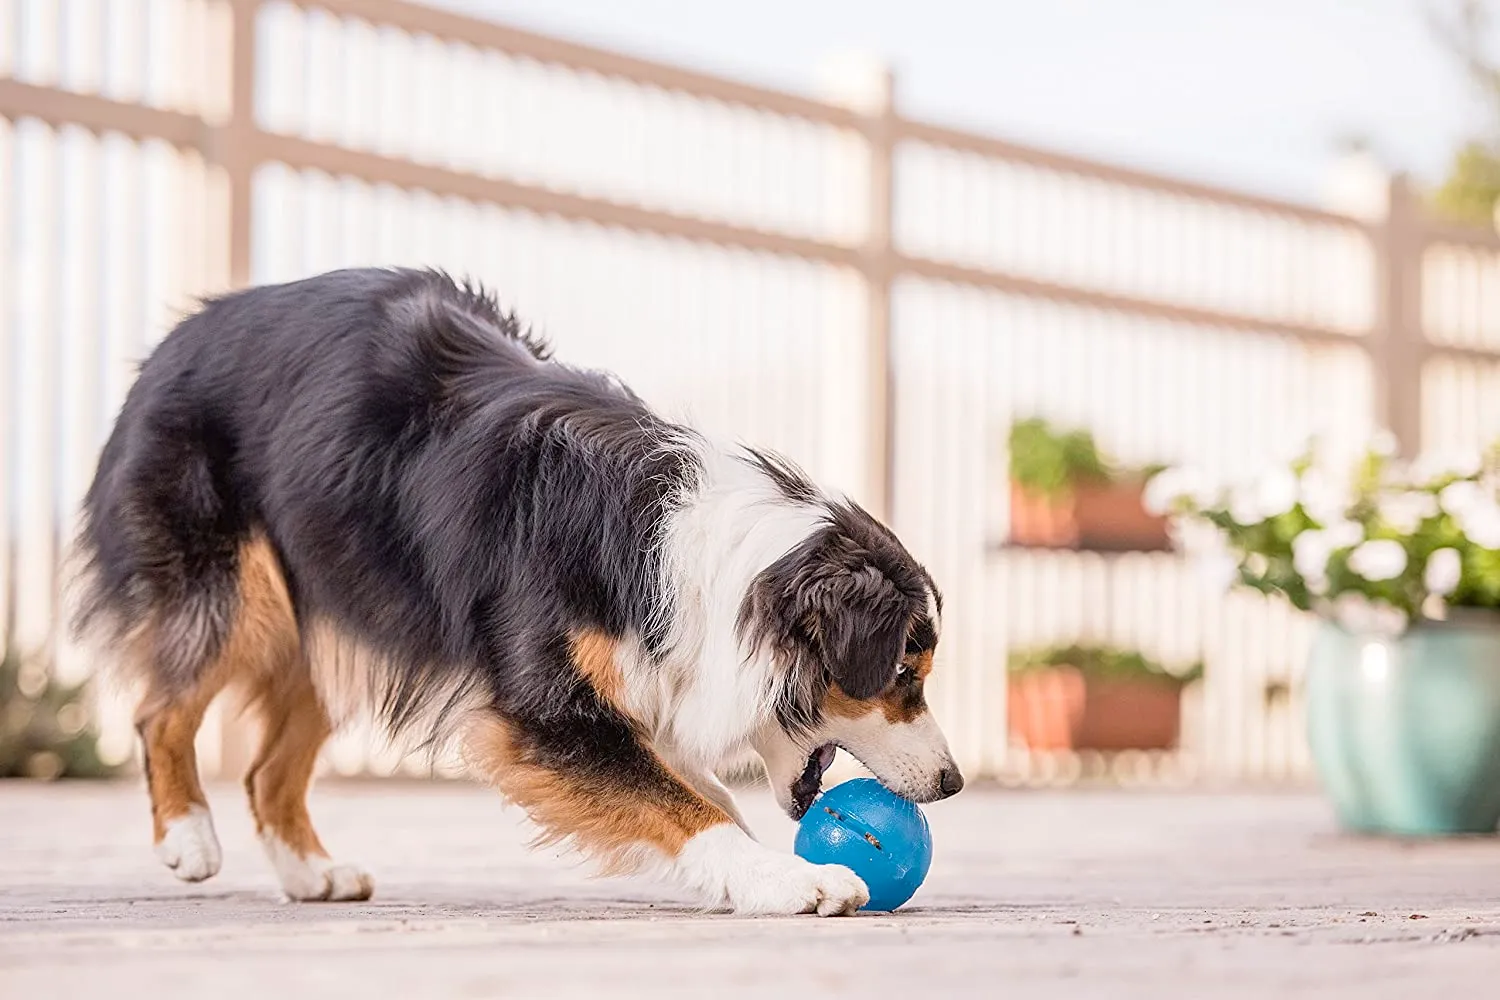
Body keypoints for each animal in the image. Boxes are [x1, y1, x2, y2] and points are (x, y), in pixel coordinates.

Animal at [70, 263, 960, 917]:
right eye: (903, 675)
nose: (953, 783)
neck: (715, 564)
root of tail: (176, 334)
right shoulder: (542, 710)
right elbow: (680, 799)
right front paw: (786, 878)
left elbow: (680, 785)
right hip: (235, 589)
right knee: (160, 711)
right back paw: (188, 838)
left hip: (347, 604)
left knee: (265, 769)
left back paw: (310, 873)